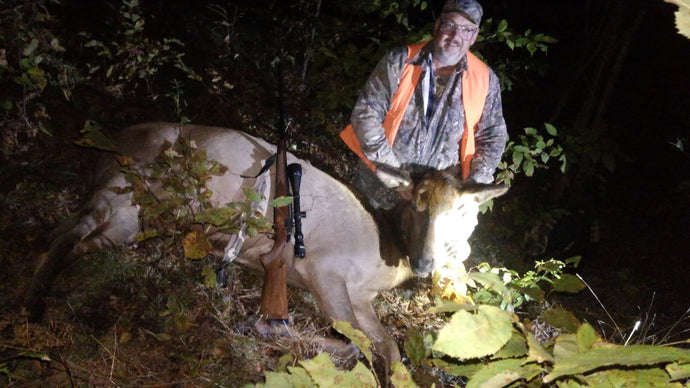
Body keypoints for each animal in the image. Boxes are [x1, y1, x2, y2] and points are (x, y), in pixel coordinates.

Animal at [22, 123, 506, 374]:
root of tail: (113, 143)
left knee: (75, 237)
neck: (381, 257)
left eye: (463, 209)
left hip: (131, 215)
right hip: (127, 191)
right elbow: (354, 341)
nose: (425, 262)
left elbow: (388, 345)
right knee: (69, 232)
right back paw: (33, 304)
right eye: (416, 201)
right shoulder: (324, 270)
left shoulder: (361, 297)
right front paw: (268, 328)